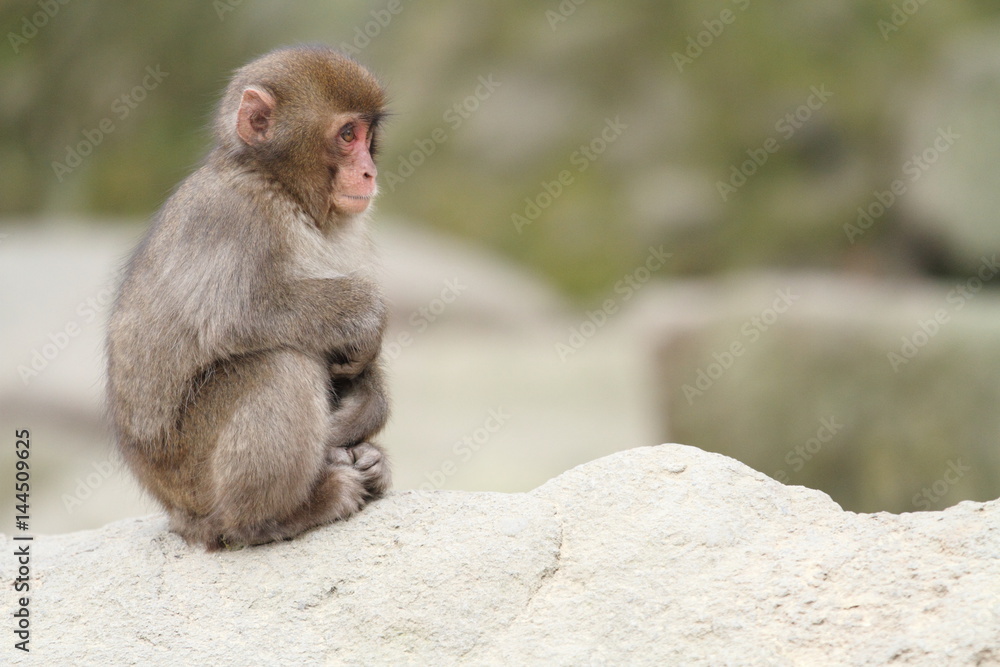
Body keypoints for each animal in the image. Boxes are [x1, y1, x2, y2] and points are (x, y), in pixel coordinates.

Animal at [105, 45, 392, 548]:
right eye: (347, 135)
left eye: (367, 134)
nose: (368, 171)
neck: (278, 187)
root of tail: (177, 513)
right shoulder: (232, 218)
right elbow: (234, 315)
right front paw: (365, 314)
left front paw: (367, 402)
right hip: (193, 470)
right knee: (279, 364)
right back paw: (279, 516)